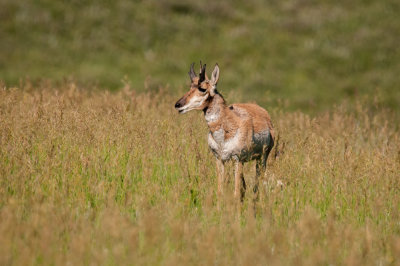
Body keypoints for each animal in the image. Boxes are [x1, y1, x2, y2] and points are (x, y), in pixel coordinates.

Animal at [175, 61, 276, 200]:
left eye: (202, 88)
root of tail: (263, 112)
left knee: (258, 183)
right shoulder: (219, 159)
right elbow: (220, 191)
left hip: (262, 159)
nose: (178, 105)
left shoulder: (237, 159)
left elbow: (236, 193)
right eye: (190, 87)